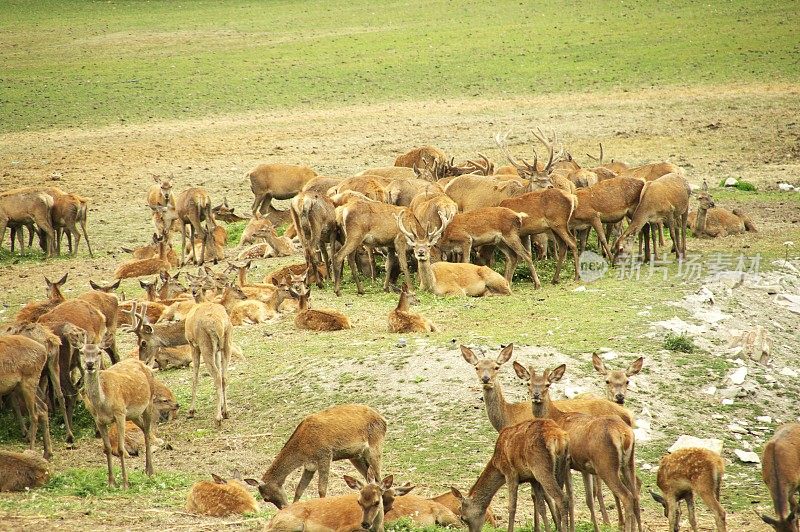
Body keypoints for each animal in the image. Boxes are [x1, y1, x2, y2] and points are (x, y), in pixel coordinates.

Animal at [81, 342, 156, 488]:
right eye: (81, 352)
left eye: (99, 352)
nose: (90, 364)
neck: (103, 404)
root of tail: (145, 365)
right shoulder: (98, 420)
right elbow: (107, 448)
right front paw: (111, 482)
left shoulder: (120, 413)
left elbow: (121, 449)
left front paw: (125, 483)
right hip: (133, 415)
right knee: (144, 429)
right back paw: (145, 469)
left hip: (148, 402)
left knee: (147, 431)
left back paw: (150, 471)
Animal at [244, 406, 388, 510]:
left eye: (266, 498)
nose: (283, 507)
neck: (302, 448)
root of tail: (383, 420)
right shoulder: (310, 465)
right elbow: (299, 489)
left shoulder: (325, 455)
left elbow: (322, 489)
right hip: (356, 456)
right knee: (370, 478)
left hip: (375, 446)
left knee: (379, 478)